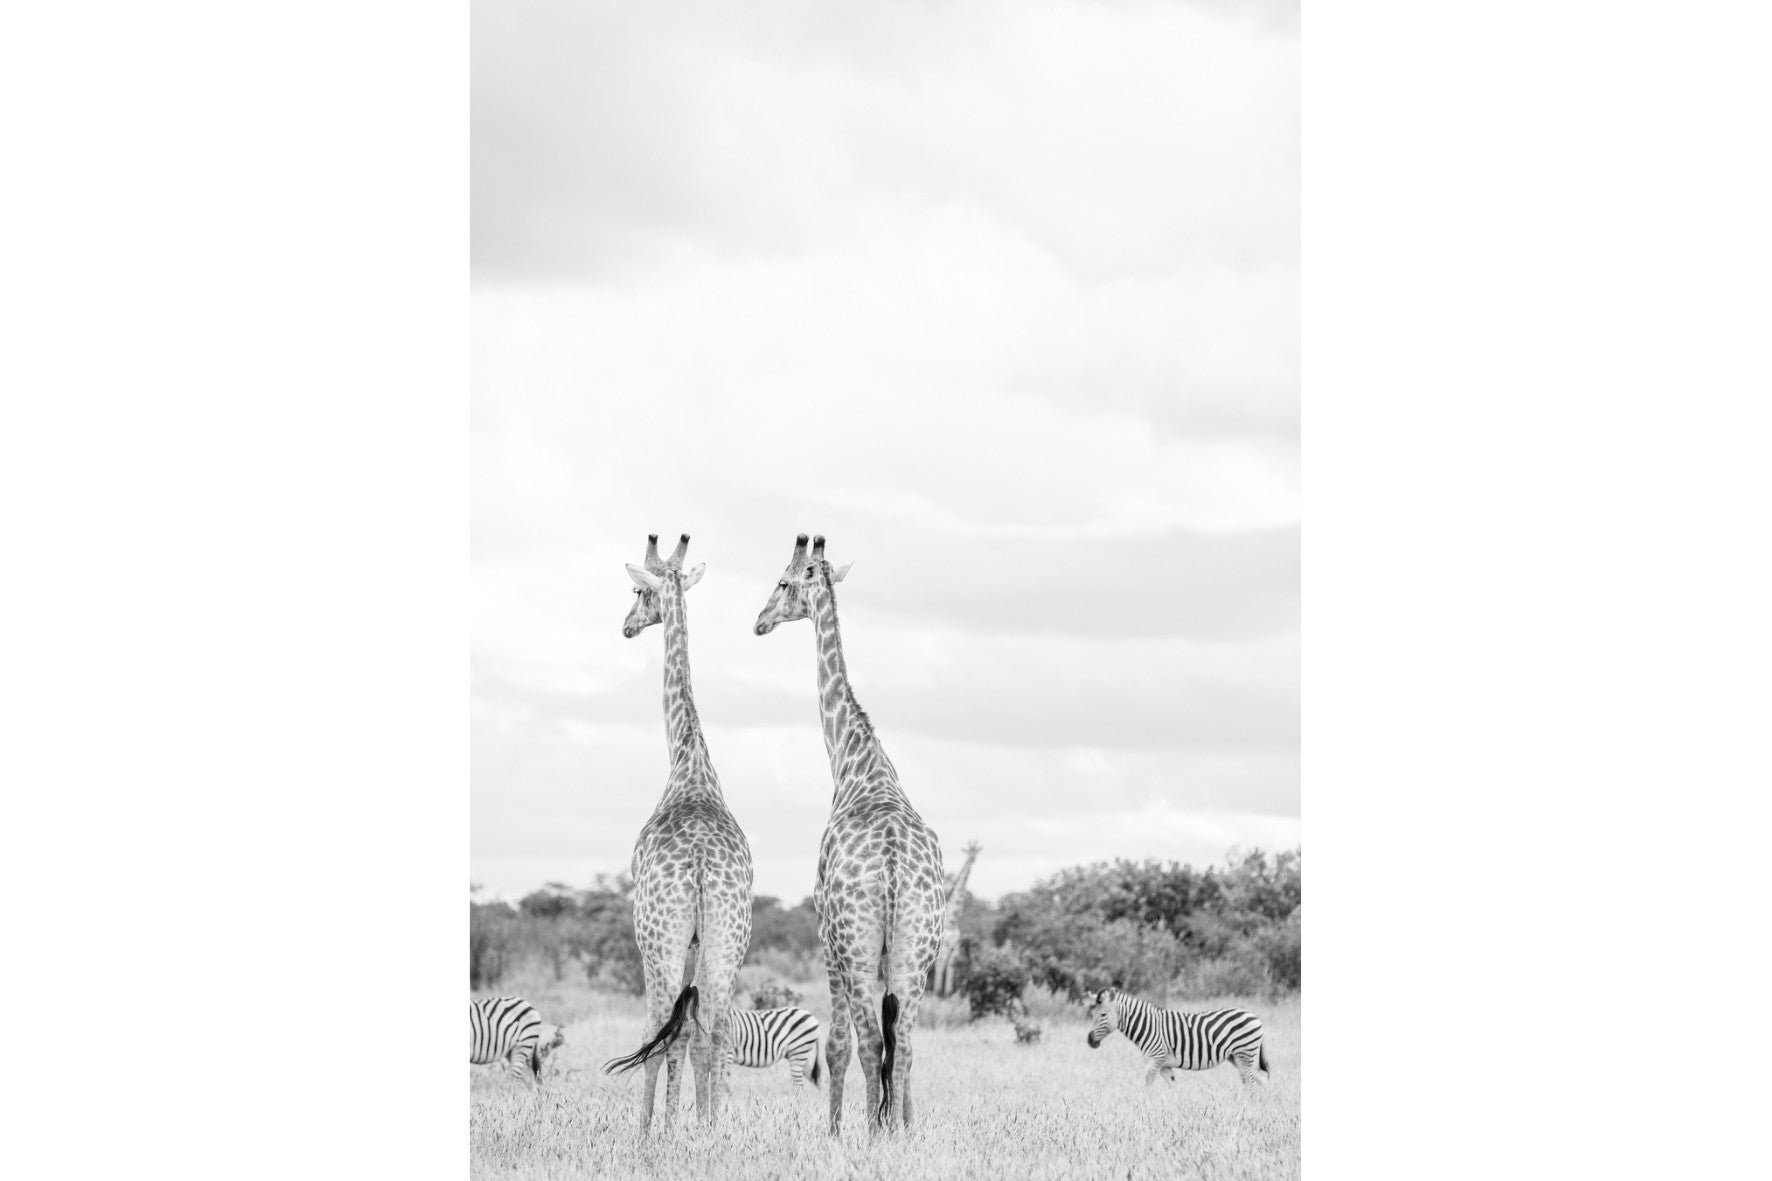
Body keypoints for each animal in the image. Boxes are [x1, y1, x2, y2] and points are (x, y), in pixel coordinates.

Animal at [601, 533, 754, 1132]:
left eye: (638, 592)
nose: (625, 625)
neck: (689, 765)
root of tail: (701, 867)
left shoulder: (660, 940)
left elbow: (664, 1033)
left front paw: (656, 1131)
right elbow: (690, 1032)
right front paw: (680, 1126)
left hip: (658, 940)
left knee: (655, 1028)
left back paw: (649, 1134)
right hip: (728, 942)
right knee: (715, 1030)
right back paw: (711, 1132)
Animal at [753, 534, 946, 1135]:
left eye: (783, 581)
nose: (759, 621)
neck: (855, 762)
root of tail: (891, 866)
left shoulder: (826, 938)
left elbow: (837, 1046)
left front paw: (836, 1131)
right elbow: (898, 1046)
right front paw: (901, 1122)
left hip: (857, 950)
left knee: (868, 1044)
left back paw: (869, 1133)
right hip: (917, 952)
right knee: (903, 1046)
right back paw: (898, 1133)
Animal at [932, 841, 981, 998]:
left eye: (976, 852)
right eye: (969, 852)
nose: (973, 859)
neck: (953, 921)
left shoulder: (955, 948)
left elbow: (950, 968)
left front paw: (947, 993)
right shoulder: (943, 948)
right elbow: (941, 967)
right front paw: (937, 993)